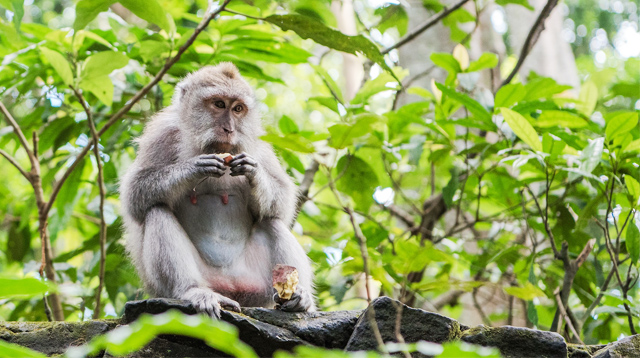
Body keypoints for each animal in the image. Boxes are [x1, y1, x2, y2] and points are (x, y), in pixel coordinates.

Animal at [120, 63, 316, 318]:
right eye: (219, 104)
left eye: (238, 109)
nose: (229, 129)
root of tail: (229, 288)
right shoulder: (162, 134)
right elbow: (135, 194)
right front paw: (194, 168)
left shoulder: (258, 145)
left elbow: (282, 202)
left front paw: (253, 172)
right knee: (157, 211)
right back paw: (193, 291)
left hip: (256, 287)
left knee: (271, 221)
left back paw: (299, 296)